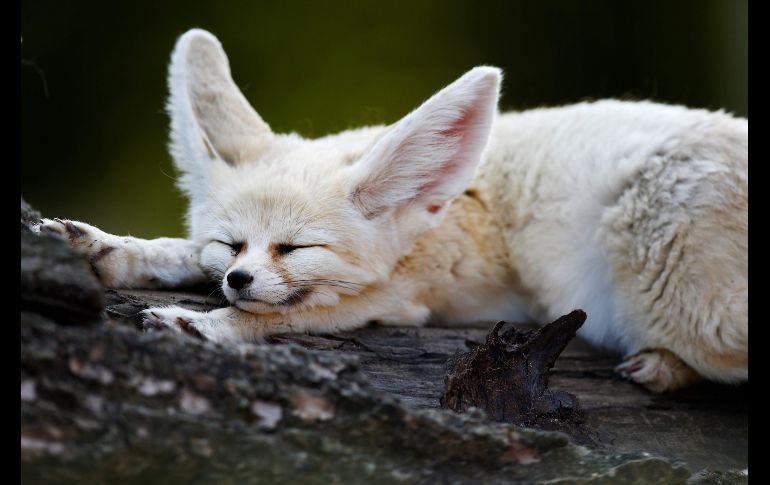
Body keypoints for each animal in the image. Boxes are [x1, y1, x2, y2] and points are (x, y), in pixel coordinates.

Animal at [36, 29, 747, 393]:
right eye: (230, 246)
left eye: (298, 248)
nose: (239, 279)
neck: (439, 216)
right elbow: (179, 254)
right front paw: (97, 247)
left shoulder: (407, 298)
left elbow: (286, 316)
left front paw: (201, 325)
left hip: (661, 279)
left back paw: (668, 367)